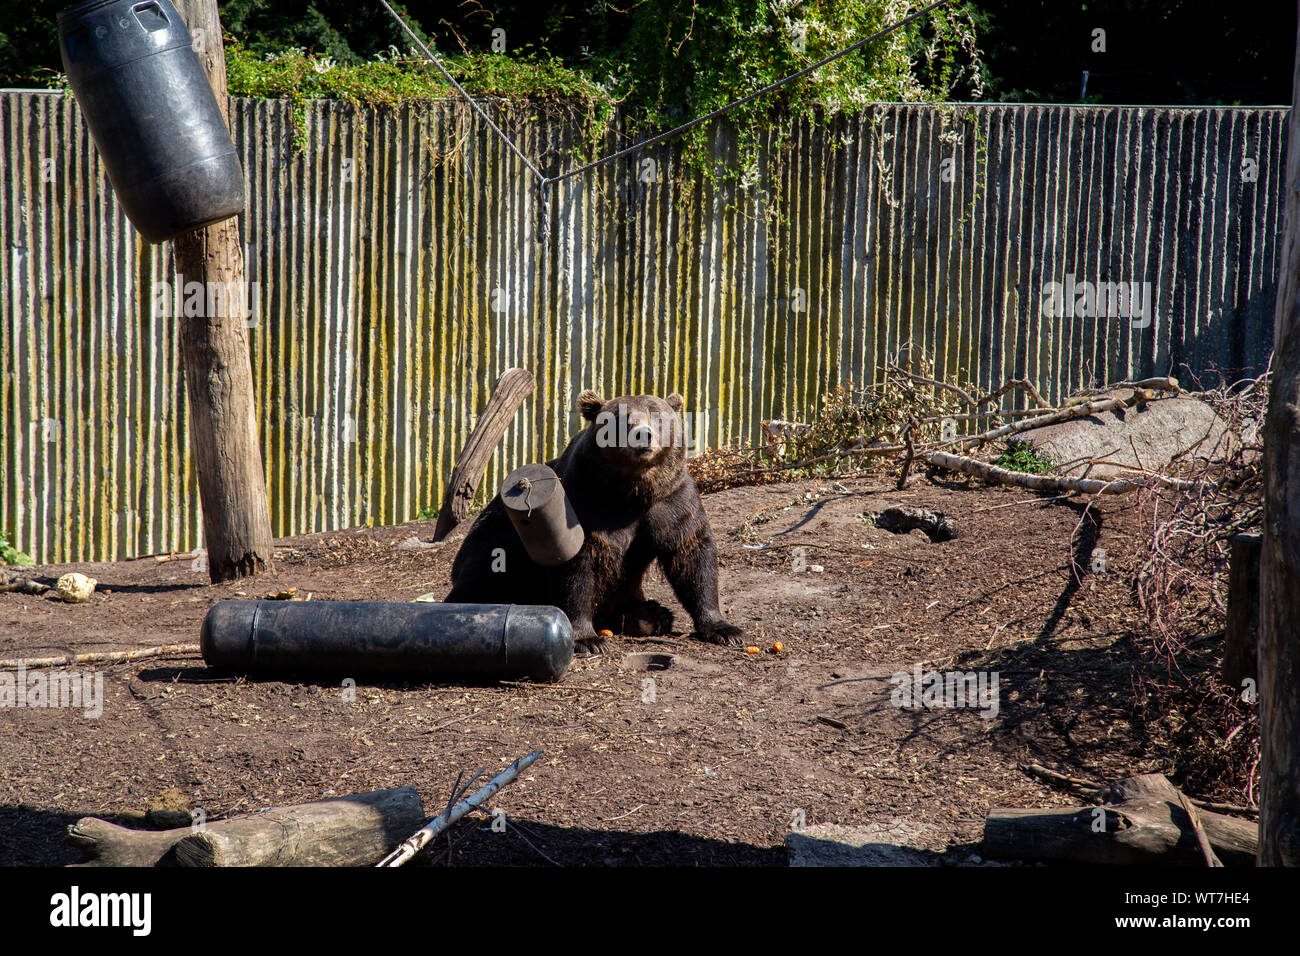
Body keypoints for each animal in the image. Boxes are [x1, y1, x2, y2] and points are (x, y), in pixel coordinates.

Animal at [447, 392, 748, 655]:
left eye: (656, 414)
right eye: (622, 418)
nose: (643, 435)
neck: (633, 492)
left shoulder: (671, 502)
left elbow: (691, 554)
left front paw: (724, 629)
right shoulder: (586, 501)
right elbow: (579, 564)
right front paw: (587, 639)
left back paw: (650, 615)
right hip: (493, 541)